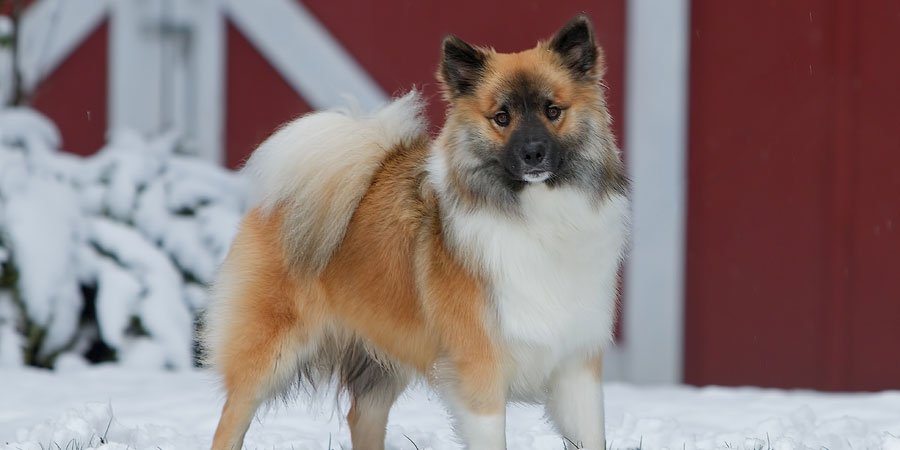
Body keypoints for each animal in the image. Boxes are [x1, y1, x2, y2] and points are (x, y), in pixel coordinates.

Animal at [203, 14, 624, 450]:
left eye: (552, 110)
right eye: (501, 117)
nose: (533, 153)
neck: (535, 217)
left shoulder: (575, 369)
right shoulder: (480, 373)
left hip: (381, 359)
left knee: (361, 417)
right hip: (268, 355)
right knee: (231, 419)